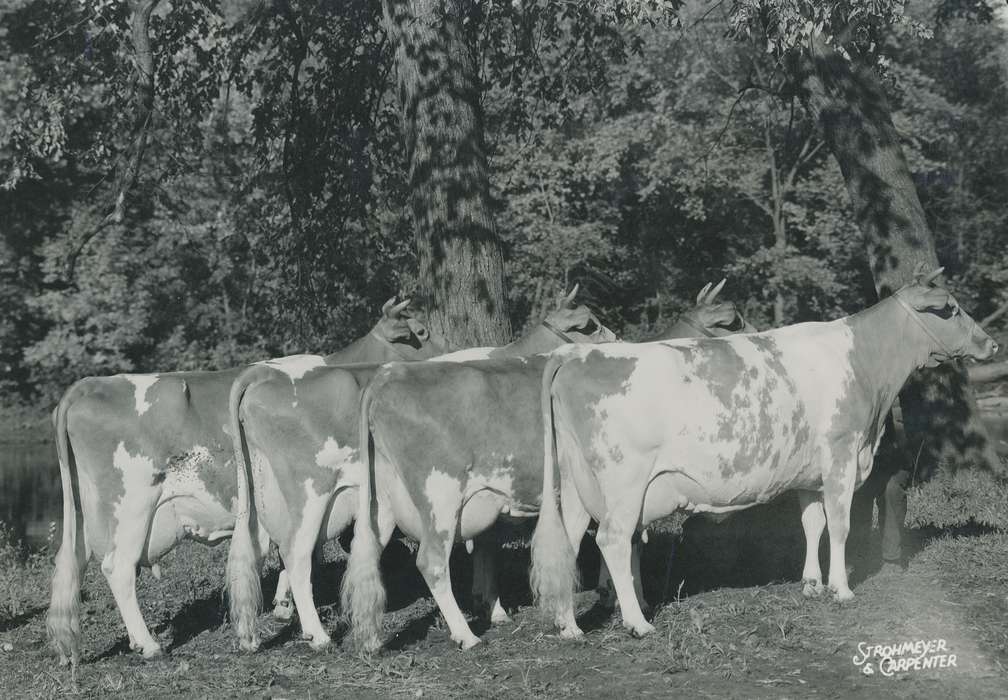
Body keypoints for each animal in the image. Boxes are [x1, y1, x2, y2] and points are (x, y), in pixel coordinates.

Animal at [46, 298, 443, 666]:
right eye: (422, 332)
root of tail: (87, 386)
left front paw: (283, 606)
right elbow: (299, 550)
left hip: (85, 512)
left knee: (77, 563)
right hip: (131, 507)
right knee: (118, 568)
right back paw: (149, 645)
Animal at [225, 286, 616, 652]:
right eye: (591, 325)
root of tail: (263, 376)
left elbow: (488, 546)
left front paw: (495, 606)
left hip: (345, 500)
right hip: (329, 493)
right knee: (302, 553)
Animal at [340, 282, 754, 652]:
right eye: (734, 320)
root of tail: (388, 377)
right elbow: (628, 538)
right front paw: (627, 601)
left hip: (383, 500)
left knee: (367, 557)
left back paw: (373, 639)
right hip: (438, 496)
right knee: (430, 561)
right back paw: (466, 635)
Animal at [528, 270, 998, 641]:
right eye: (952, 308)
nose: (991, 344)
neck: (865, 363)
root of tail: (575, 355)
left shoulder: (810, 474)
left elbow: (812, 524)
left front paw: (811, 584)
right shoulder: (841, 456)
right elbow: (840, 525)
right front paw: (841, 589)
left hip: (576, 485)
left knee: (569, 542)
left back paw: (569, 626)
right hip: (624, 484)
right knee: (611, 540)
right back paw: (637, 623)